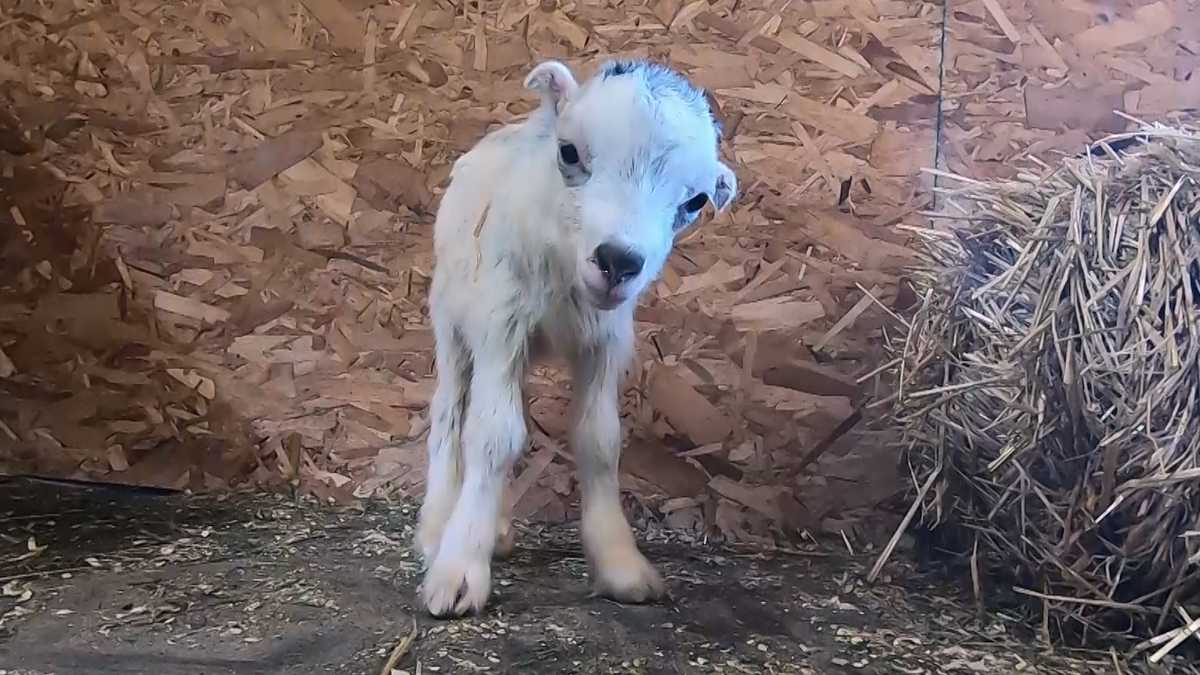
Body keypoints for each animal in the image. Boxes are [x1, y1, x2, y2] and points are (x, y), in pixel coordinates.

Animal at [417, 57, 734, 614]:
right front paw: (458, 570)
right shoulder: (499, 319)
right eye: (569, 152)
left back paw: (494, 529)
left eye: (695, 201)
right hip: (452, 318)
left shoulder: (605, 340)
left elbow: (598, 439)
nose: (618, 261)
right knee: (451, 412)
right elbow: (493, 436)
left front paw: (621, 565)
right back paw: (438, 529)